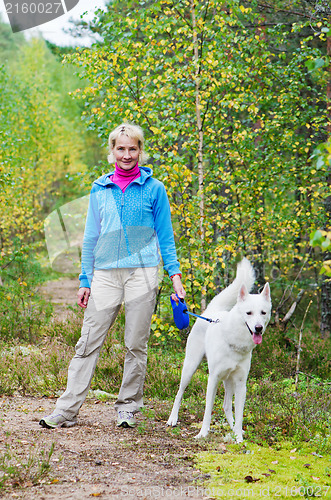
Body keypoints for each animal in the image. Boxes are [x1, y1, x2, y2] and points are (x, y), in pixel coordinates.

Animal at [169, 258, 272, 442]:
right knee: (179, 393)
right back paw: (173, 418)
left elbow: (239, 414)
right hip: (190, 368)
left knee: (226, 406)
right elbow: (207, 411)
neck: (235, 342)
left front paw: (239, 438)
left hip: (229, 380)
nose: (258, 328)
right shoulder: (213, 378)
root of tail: (211, 312)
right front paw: (202, 433)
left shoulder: (241, 383)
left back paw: (234, 429)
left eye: (263, 312)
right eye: (249, 313)